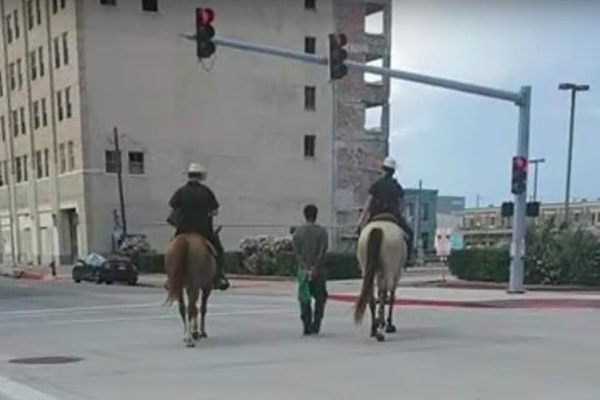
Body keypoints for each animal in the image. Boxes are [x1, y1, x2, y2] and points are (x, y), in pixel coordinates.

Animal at [354, 214, 410, 342]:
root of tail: (377, 229)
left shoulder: (378, 273)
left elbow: (380, 295)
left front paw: (380, 322)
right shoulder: (396, 274)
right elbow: (390, 297)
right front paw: (388, 323)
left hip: (367, 269)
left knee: (371, 298)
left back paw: (374, 329)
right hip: (389, 270)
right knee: (386, 294)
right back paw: (380, 330)